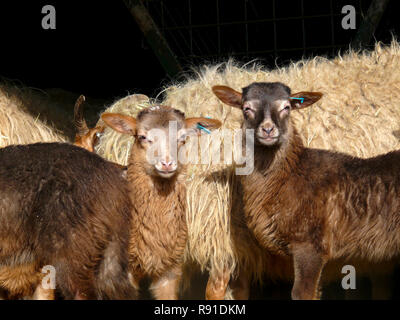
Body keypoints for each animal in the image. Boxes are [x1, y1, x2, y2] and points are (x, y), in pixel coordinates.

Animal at [214, 80, 400, 300]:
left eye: (286, 107)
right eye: (246, 108)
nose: (268, 129)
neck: (288, 177)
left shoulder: (309, 244)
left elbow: (301, 293)